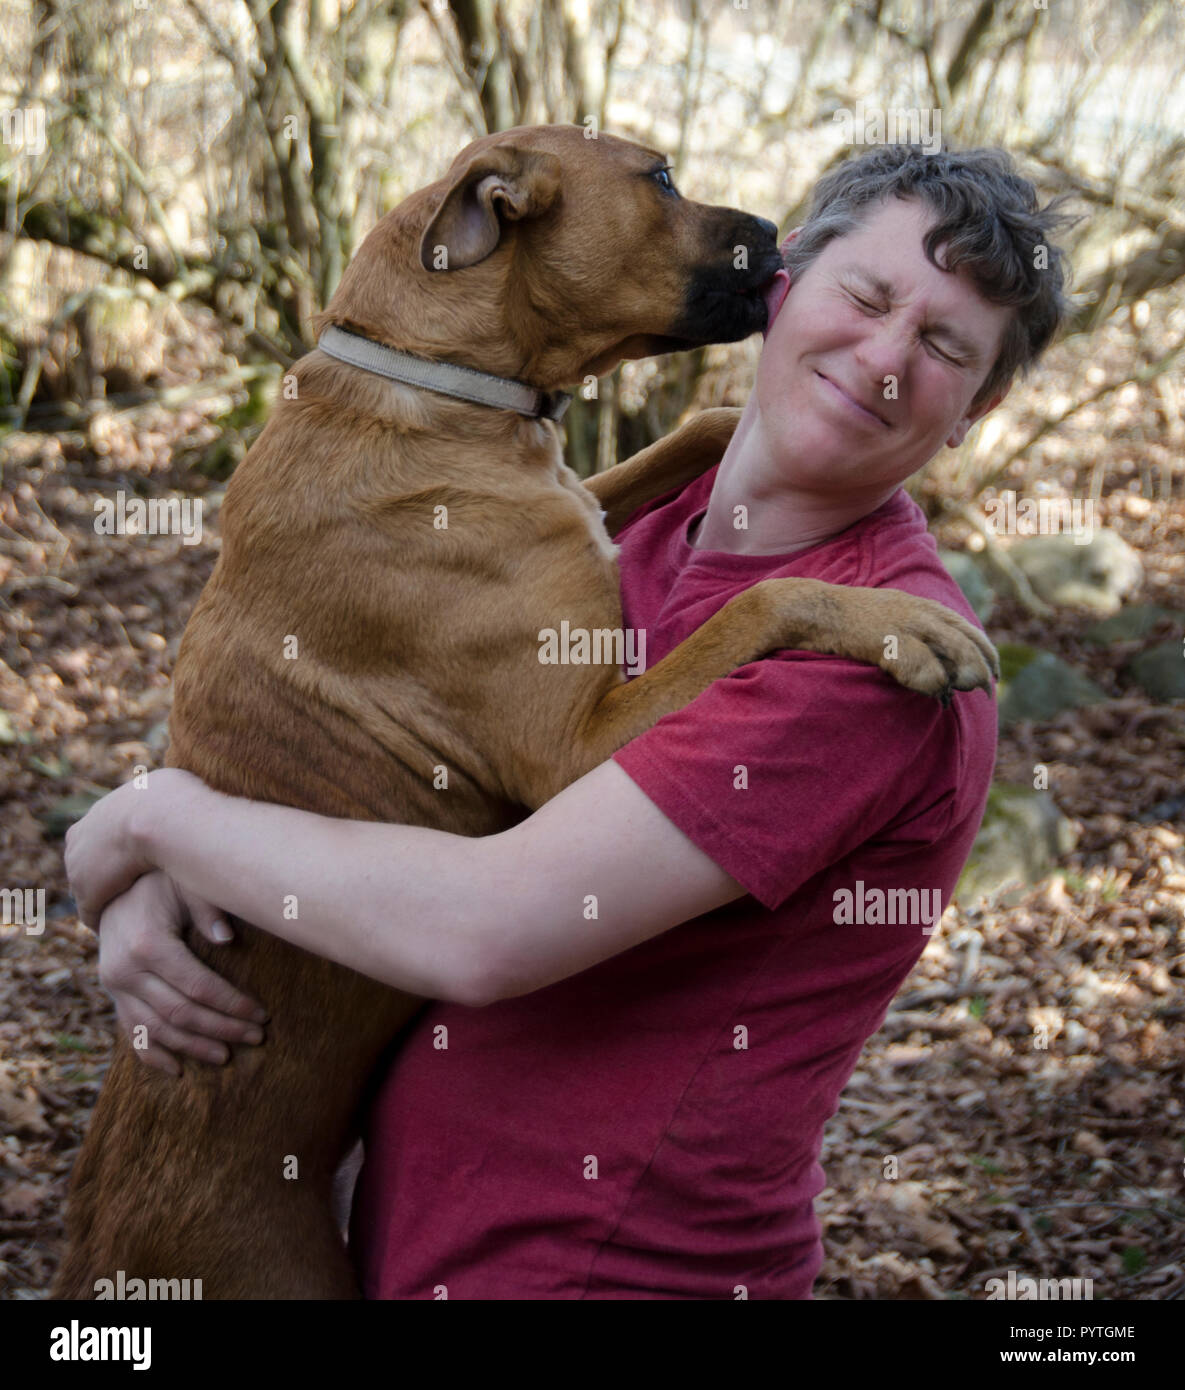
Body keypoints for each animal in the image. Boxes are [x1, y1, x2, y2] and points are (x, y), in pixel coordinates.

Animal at [53, 125, 989, 1295]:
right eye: (660, 178)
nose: (780, 231)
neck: (443, 385)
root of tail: (96, 1255)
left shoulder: (583, 505)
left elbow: (700, 426)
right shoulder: (574, 749)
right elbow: (766, 598)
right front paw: (899, 619)